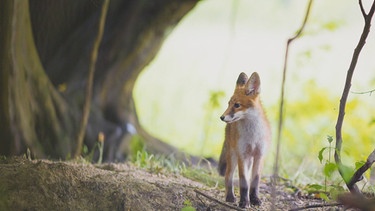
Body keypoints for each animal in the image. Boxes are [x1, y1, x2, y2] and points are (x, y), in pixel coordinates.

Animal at [219, 72, 272, 208]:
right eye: (228, 104)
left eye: (237, 105)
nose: (221, 117)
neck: (252, 136)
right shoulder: (242, 155)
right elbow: (243, 182)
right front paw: (244, 202)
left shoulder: (260, 155)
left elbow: (255, 181)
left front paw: (255, 199)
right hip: (233, 157)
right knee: (228, 176)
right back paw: (230, 197)